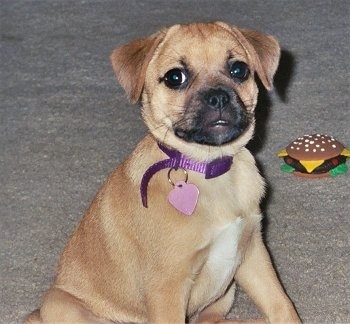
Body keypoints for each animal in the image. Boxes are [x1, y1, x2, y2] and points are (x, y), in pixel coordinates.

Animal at [26, 21, 300, 322]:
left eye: (238, 70)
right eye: (175, 77)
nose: (218, 97)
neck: (208, 168)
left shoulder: (252, 254)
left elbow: (281, 305)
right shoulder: (167, 287)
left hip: (224, 296)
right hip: (62, 304)